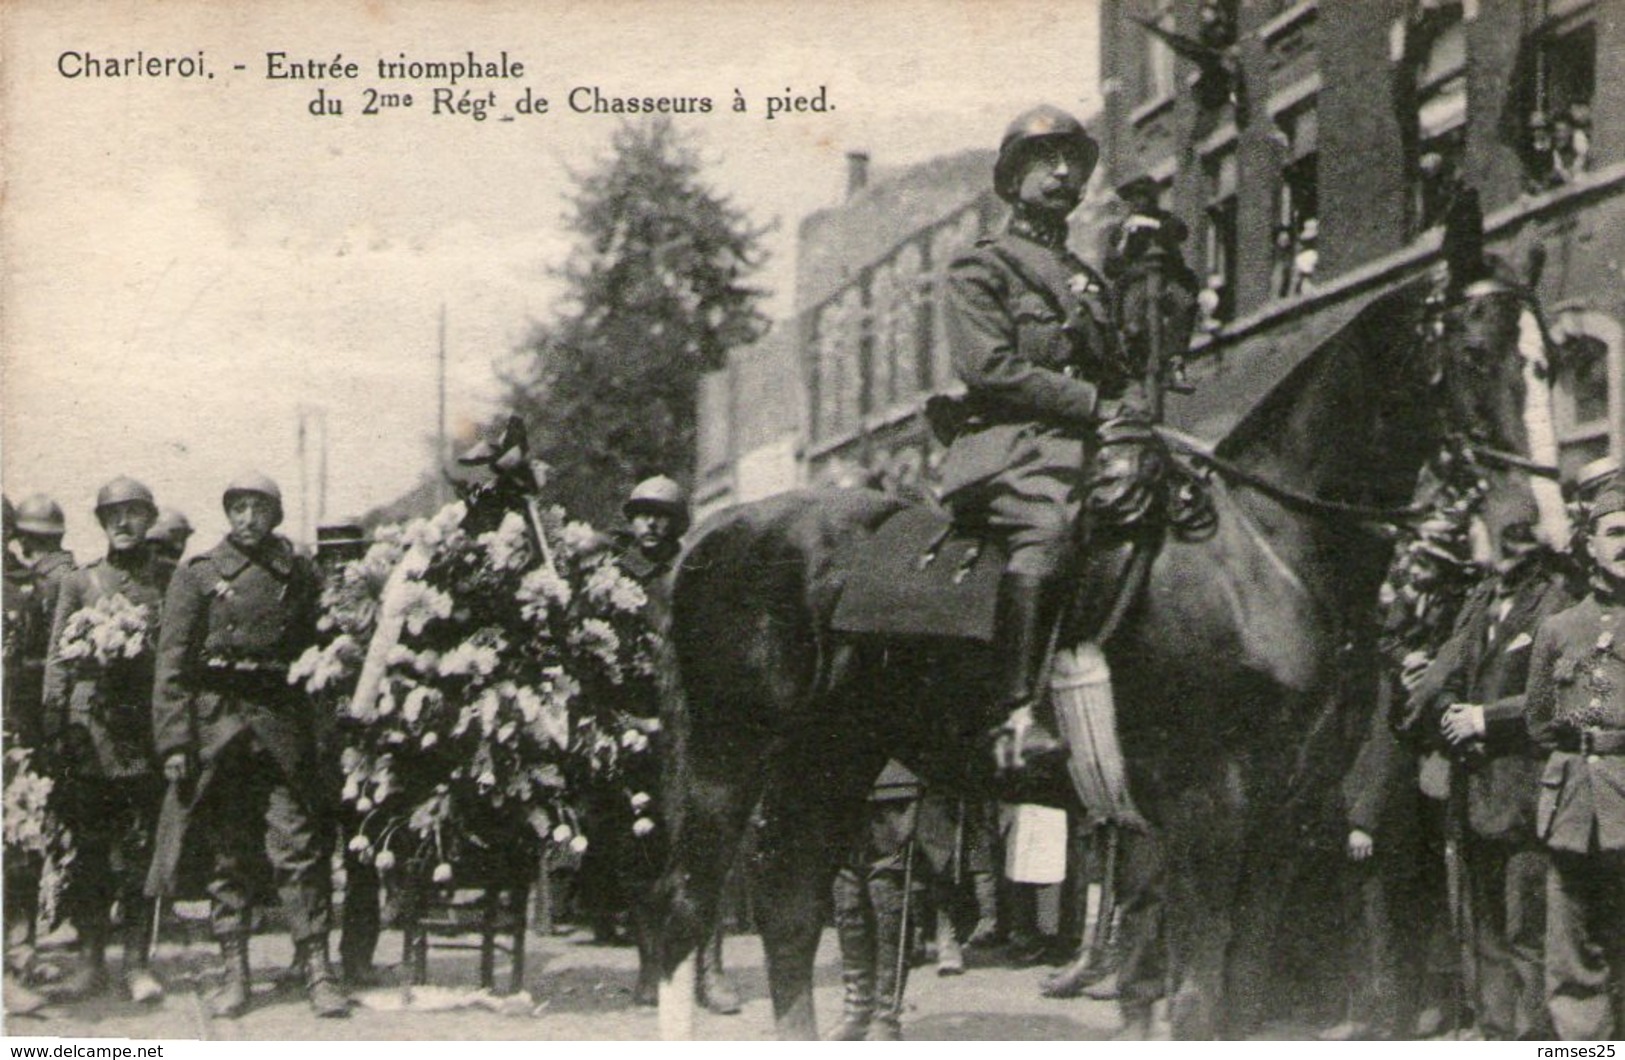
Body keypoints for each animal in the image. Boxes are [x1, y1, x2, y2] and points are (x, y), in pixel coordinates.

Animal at [643, 265, 1547, 1033]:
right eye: (1474, 354)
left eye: (1551, 360)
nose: (1528, 523)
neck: (1265, 547)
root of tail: (711, 538)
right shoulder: (1209, 815)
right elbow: (1198, 999)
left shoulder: (1281, 824)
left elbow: (1241, 994)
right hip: (731, 761)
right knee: (683, 912)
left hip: (828, 761)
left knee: (791, 914)